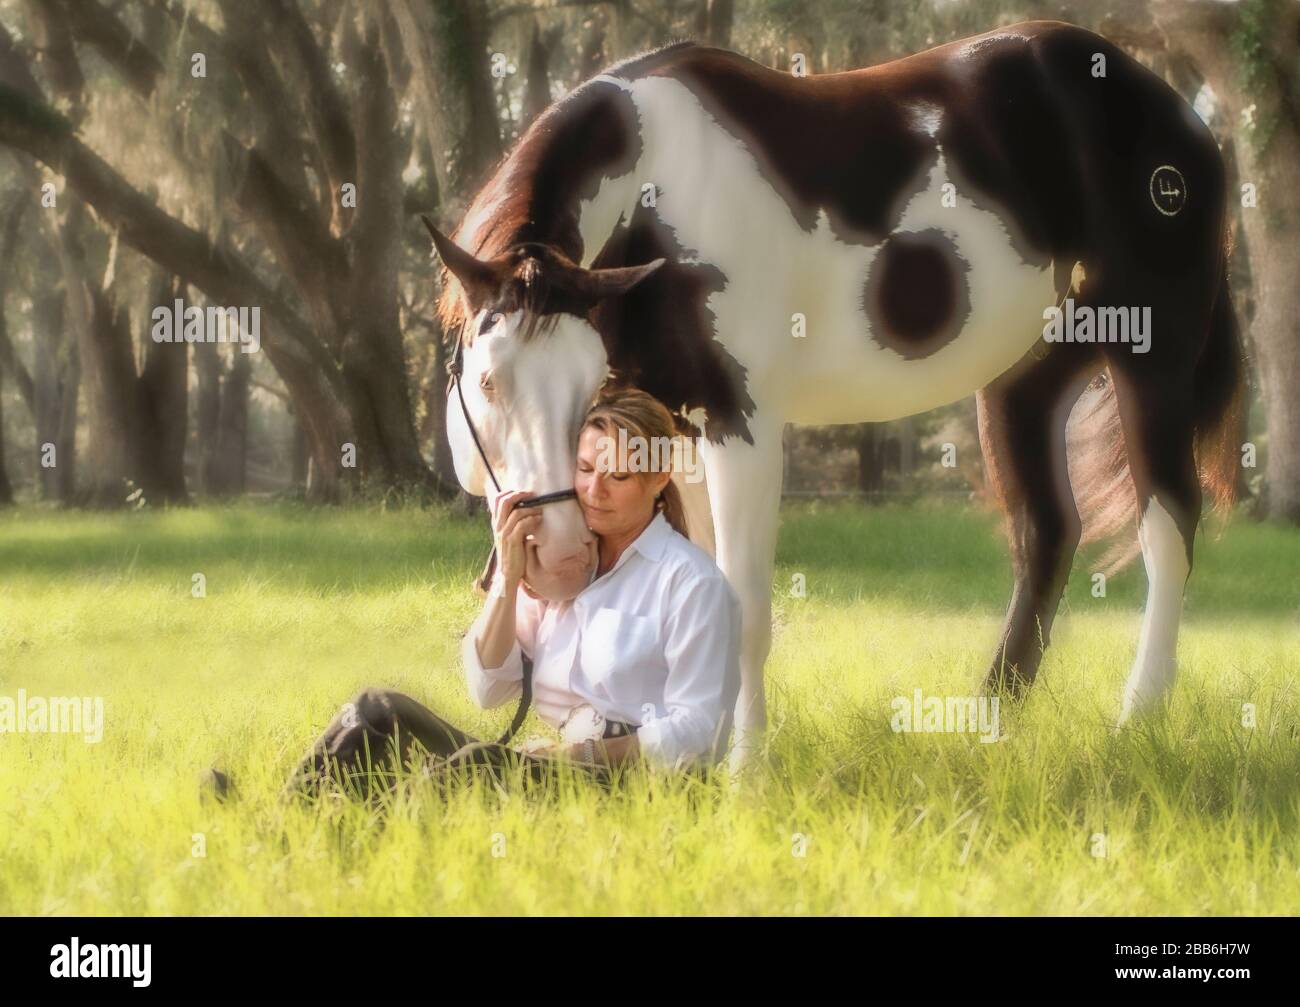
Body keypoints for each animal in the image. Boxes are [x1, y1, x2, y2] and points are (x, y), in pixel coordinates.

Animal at [424, 20, 1244, 774]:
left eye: (584, 385)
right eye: (489, 380)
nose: (561, 554)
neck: (655, 194)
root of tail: (1182, 120)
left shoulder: (742, 425)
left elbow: (746, 607)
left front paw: (743, 777)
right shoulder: (675, 433)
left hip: (1150, 362)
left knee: (1167, 526)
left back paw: (1136, 719)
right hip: (1021, 383)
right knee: (1045, 535)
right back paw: (987, 723)